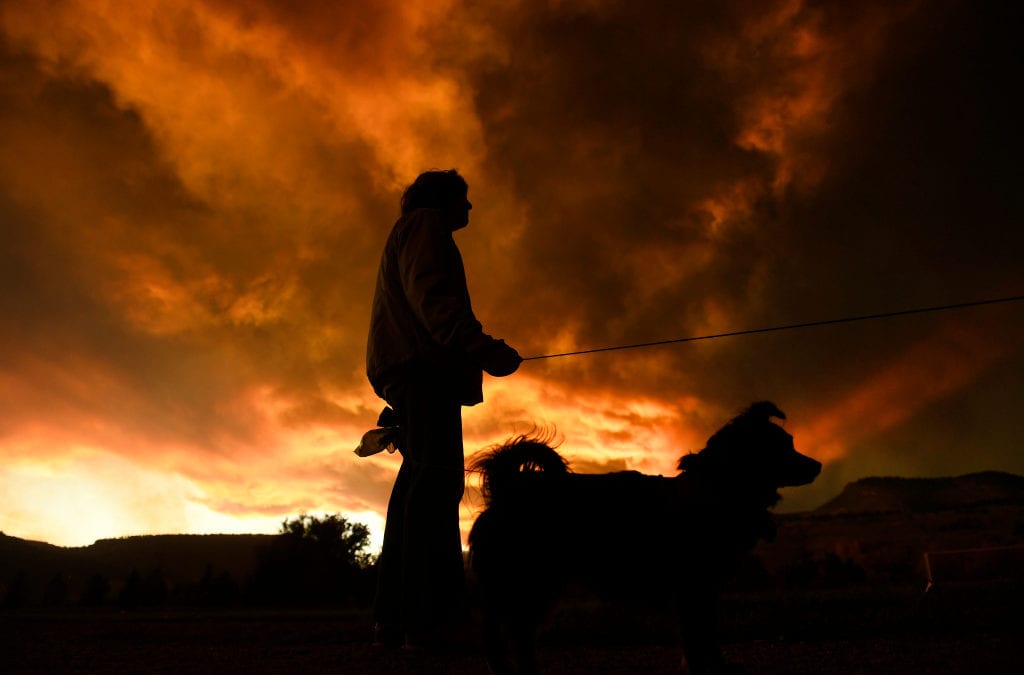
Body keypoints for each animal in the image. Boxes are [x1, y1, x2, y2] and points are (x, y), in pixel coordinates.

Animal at [468, 401, 821, 675]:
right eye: (783, 448)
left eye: (790, 442)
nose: (818, 465)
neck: (719, 487)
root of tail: (507, 489)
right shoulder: (693, 585)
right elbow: (697, 634)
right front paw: (702, 669)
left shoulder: (704, 586)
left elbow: (708, 631)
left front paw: (716, 665)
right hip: (533, 582)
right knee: (511, 632)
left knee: (508, 631)